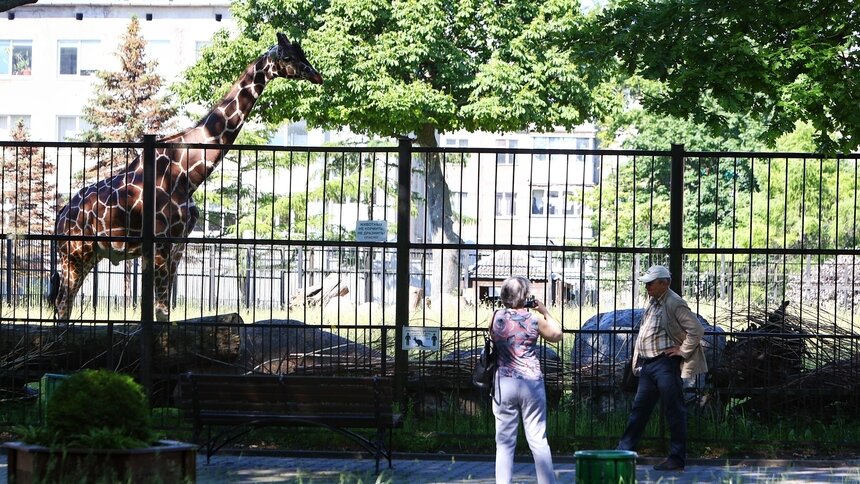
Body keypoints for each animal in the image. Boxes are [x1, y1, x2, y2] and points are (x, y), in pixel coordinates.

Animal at [47, 33, 322, 322]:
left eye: (302, 52)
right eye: (288, 56)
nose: (316, 76)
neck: (188, 174)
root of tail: (59, 217)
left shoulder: (178, 244)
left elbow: (165, 312)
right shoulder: (160, 244)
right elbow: (160, 310)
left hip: (90, 255)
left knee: (64, 304)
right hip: (75, 254)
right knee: (63, 304)